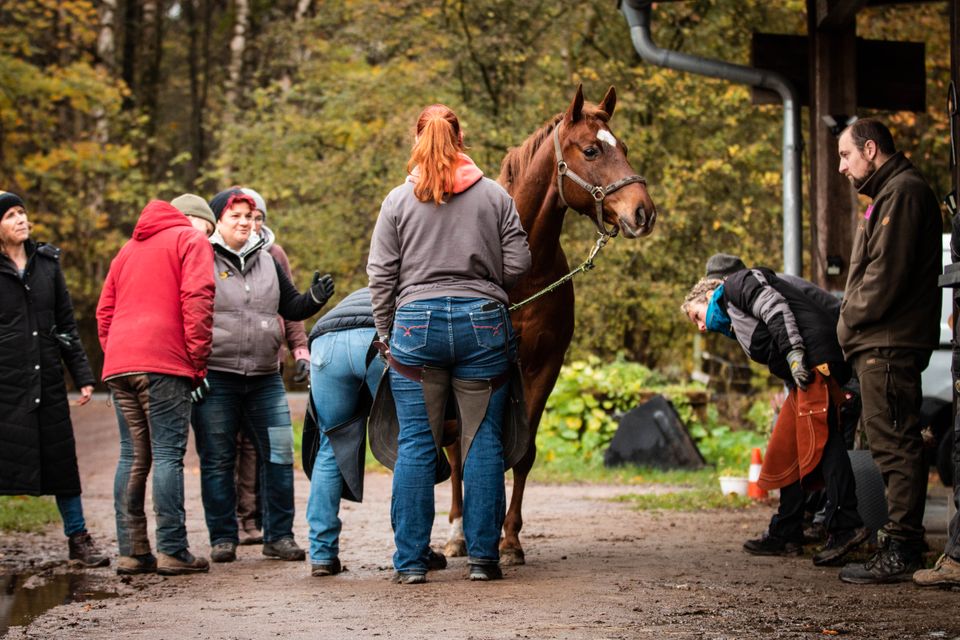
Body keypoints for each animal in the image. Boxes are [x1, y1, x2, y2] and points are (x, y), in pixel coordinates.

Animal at [444, 86, 656, 564]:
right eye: (592, 150)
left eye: (624, 147)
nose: (643, 213)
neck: (523, 271)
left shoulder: (545, 366)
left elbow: (522, 452)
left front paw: (510, 540)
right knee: (453, 449)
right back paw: (456, 532)